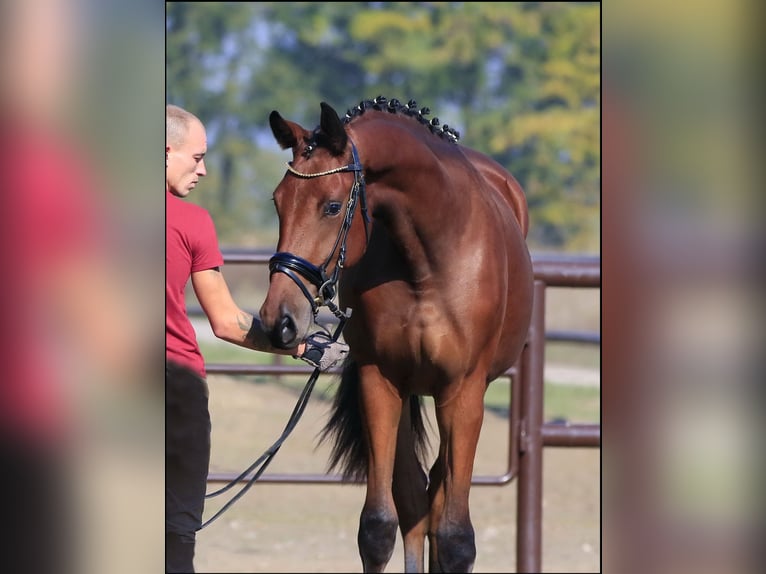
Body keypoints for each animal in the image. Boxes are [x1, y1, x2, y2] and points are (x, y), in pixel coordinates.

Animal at [258, 97, 536, 572]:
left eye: (332, 206)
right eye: (279, 202)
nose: (280, 319)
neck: (428, 259)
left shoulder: (463, 392)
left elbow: (456, 538)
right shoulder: (380, 381)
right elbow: (378, 527)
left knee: (438, 496)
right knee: (415, 497)